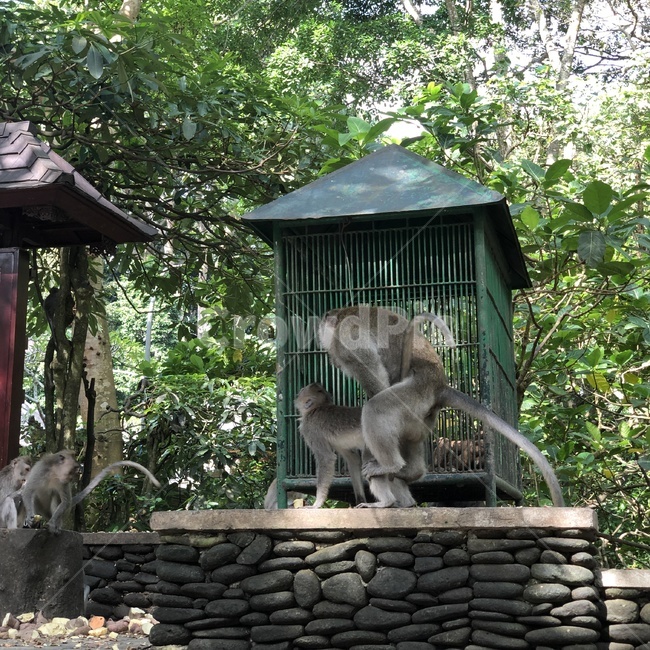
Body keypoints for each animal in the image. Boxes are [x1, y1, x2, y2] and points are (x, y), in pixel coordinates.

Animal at [3, 450, 161, 533]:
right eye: (73, 469)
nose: (75, 476)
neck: (54, 473)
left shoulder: (63, 483)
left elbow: (65, 501)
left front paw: (53, 523)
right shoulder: (40, 471)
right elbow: (28, 491)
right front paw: (30, 517)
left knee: (56, 498)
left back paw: (55, 526)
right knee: (34, 497)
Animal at [319, 306, 565, 508]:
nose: (331, 360)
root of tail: (440, 386)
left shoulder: (346, 341)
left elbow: (377, 380)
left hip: (416, 391)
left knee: (376, 408)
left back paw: (390, 466)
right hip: (422, 413)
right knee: (410, 436)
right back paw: (412, 472)